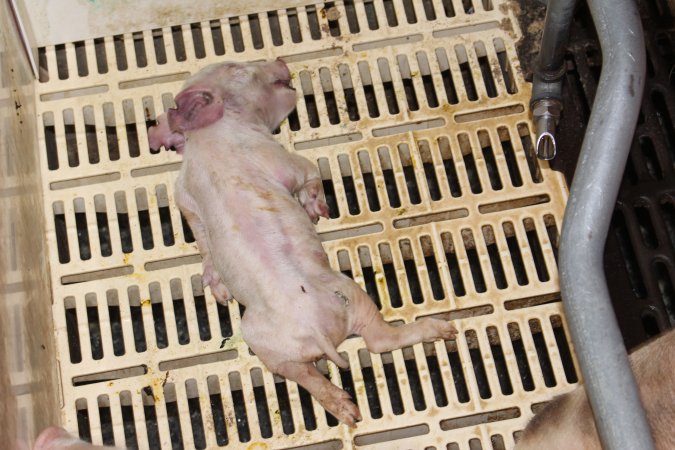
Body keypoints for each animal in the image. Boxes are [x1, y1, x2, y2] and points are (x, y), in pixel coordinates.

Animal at [148, 59, 460, 426]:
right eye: (235, 67)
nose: (280, 60)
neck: (205, 138)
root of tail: (313, 328)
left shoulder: (184, 194)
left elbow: (200, 233)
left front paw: (220, 290)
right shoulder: (277, 156)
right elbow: (308, 173)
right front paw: (316, 210)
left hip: (272, 343)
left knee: (306, 372)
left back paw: (346, 410)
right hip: (350, 295)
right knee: (380, 340)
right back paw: (443, 330)